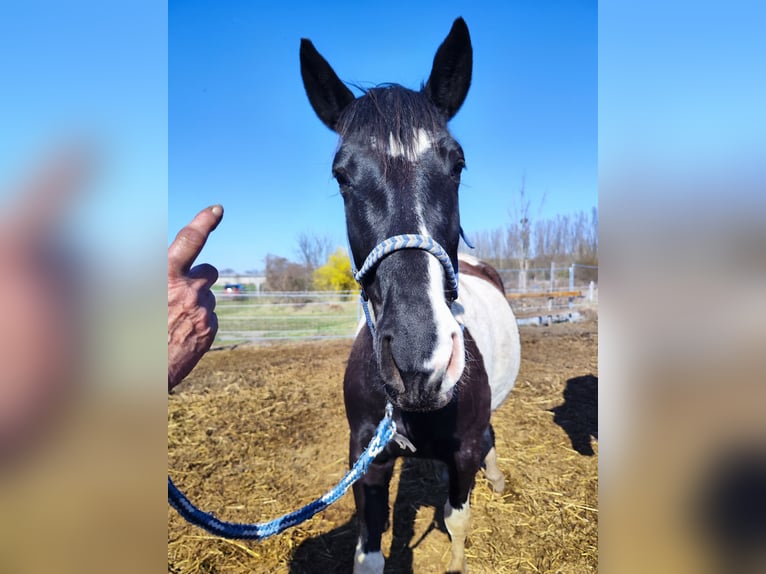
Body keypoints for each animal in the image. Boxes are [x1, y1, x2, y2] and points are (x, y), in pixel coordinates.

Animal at [300, 18, 521, 573]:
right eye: (341, 175)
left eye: (458, 164)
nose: (420, 363)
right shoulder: (368, 461)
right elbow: (368, 554)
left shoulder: (462, 452)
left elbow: (456, 519)